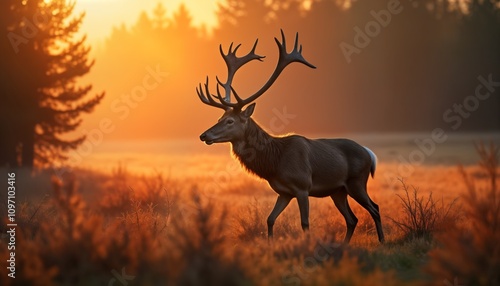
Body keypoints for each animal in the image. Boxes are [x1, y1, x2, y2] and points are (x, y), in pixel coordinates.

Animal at [197, 29, 384, 244]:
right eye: (219, 118)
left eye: (230, 121)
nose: (204, 135)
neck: (274, 163)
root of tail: (369, 153)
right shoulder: (284, 192)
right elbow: (270, 219)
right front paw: (270, 244)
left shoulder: (303, 187)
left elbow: (305, 223)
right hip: (338, 190)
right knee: (352, 219)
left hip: (357, 182)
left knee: (375, 208)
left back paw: (382, 241)